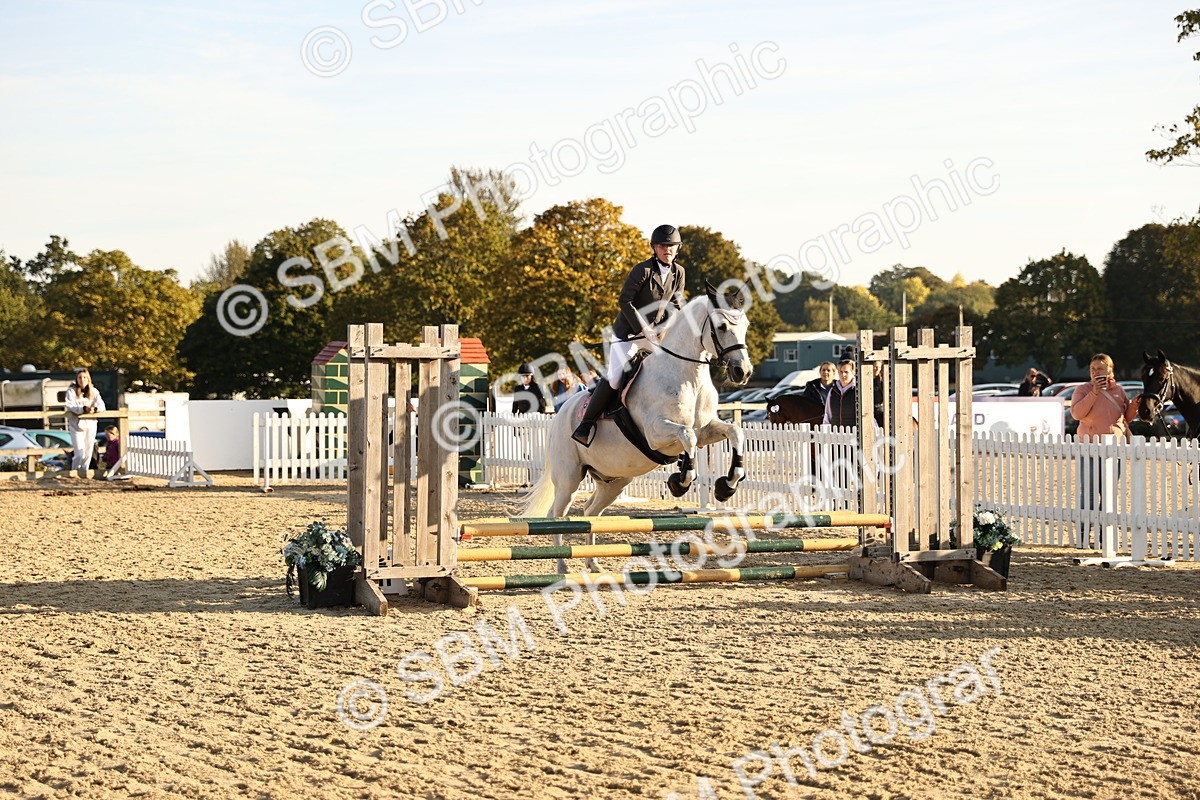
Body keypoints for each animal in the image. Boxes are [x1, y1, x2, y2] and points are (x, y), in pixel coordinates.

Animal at [522, 283, 754, 571]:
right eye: (721, 326)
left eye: (745, 325)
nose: (742, 372)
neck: (687, 377)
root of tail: (560, 413)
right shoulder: (656, 434)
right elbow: (686, 436)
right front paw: (680, 482)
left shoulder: (707, 430)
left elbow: (734, 432)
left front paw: (727, 485)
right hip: (569, 477)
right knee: (559, 515)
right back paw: (563, 566)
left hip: (614, 481)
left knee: (590, 512)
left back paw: (593, 564)